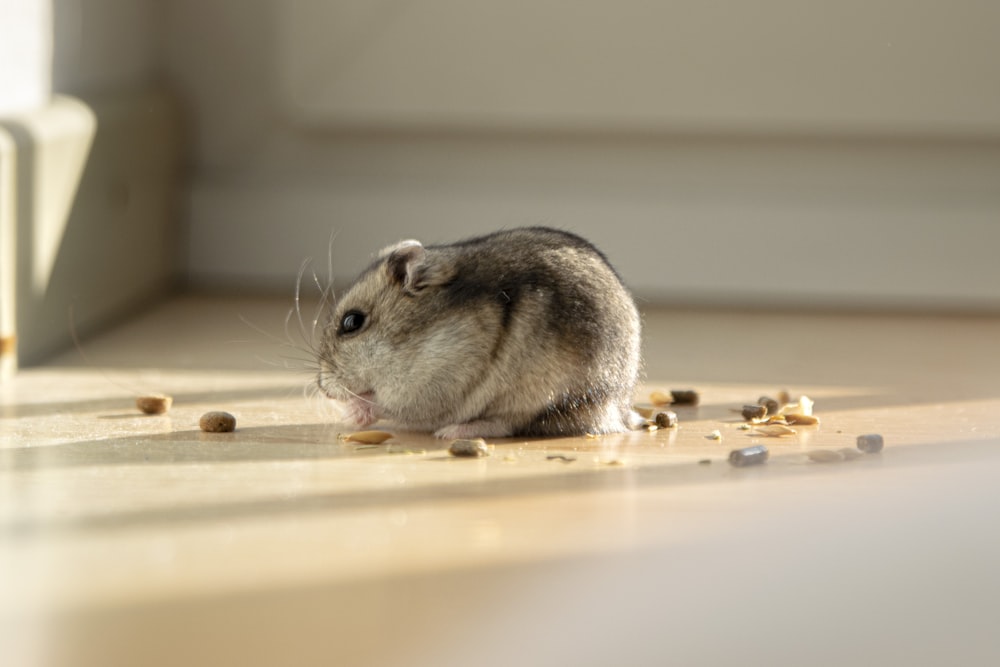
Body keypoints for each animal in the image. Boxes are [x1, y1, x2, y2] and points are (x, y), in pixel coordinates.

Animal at [316, 227, 644, 440]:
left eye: (352, 322)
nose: (323, 388)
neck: (415, 341)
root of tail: (619, 408)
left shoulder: (436, 379)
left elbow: (386, 403)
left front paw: (352, 411)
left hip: (540, 396)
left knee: (508, 424)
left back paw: (453, 432)